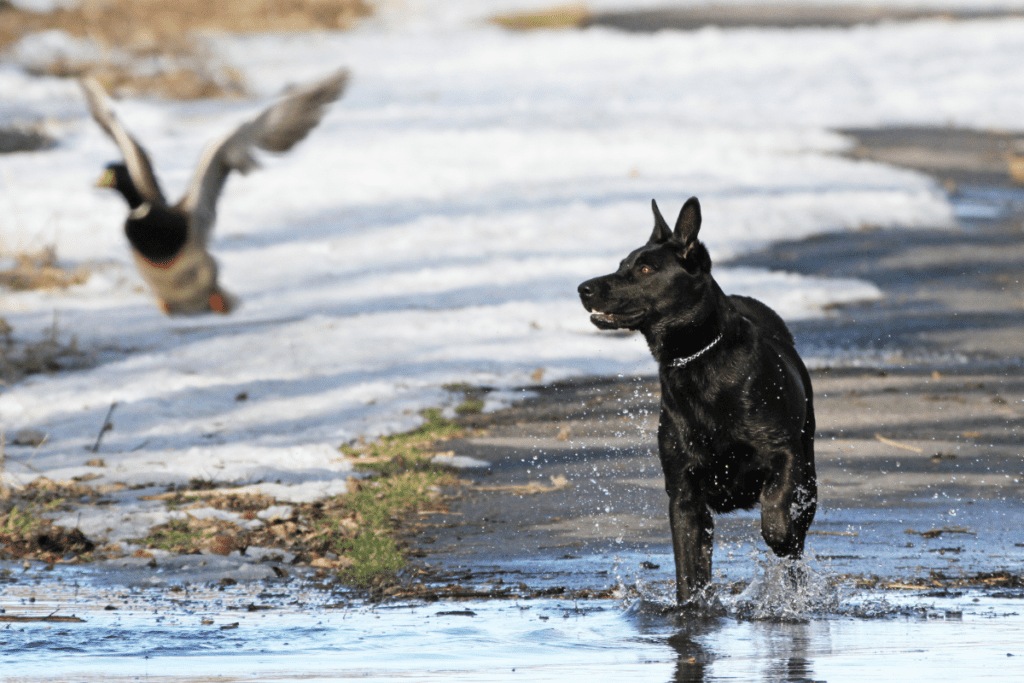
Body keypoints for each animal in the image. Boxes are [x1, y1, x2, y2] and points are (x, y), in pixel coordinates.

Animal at [581, 198, 811, 610]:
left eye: (645, 269)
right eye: (622, 264)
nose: (583, 289)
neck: (696, 361)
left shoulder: (784, 454)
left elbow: (776, 512)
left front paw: (778, 533)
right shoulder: (684, 495)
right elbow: (689, 567)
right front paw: (692, 609)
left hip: (810, 473)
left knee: (797, 542)